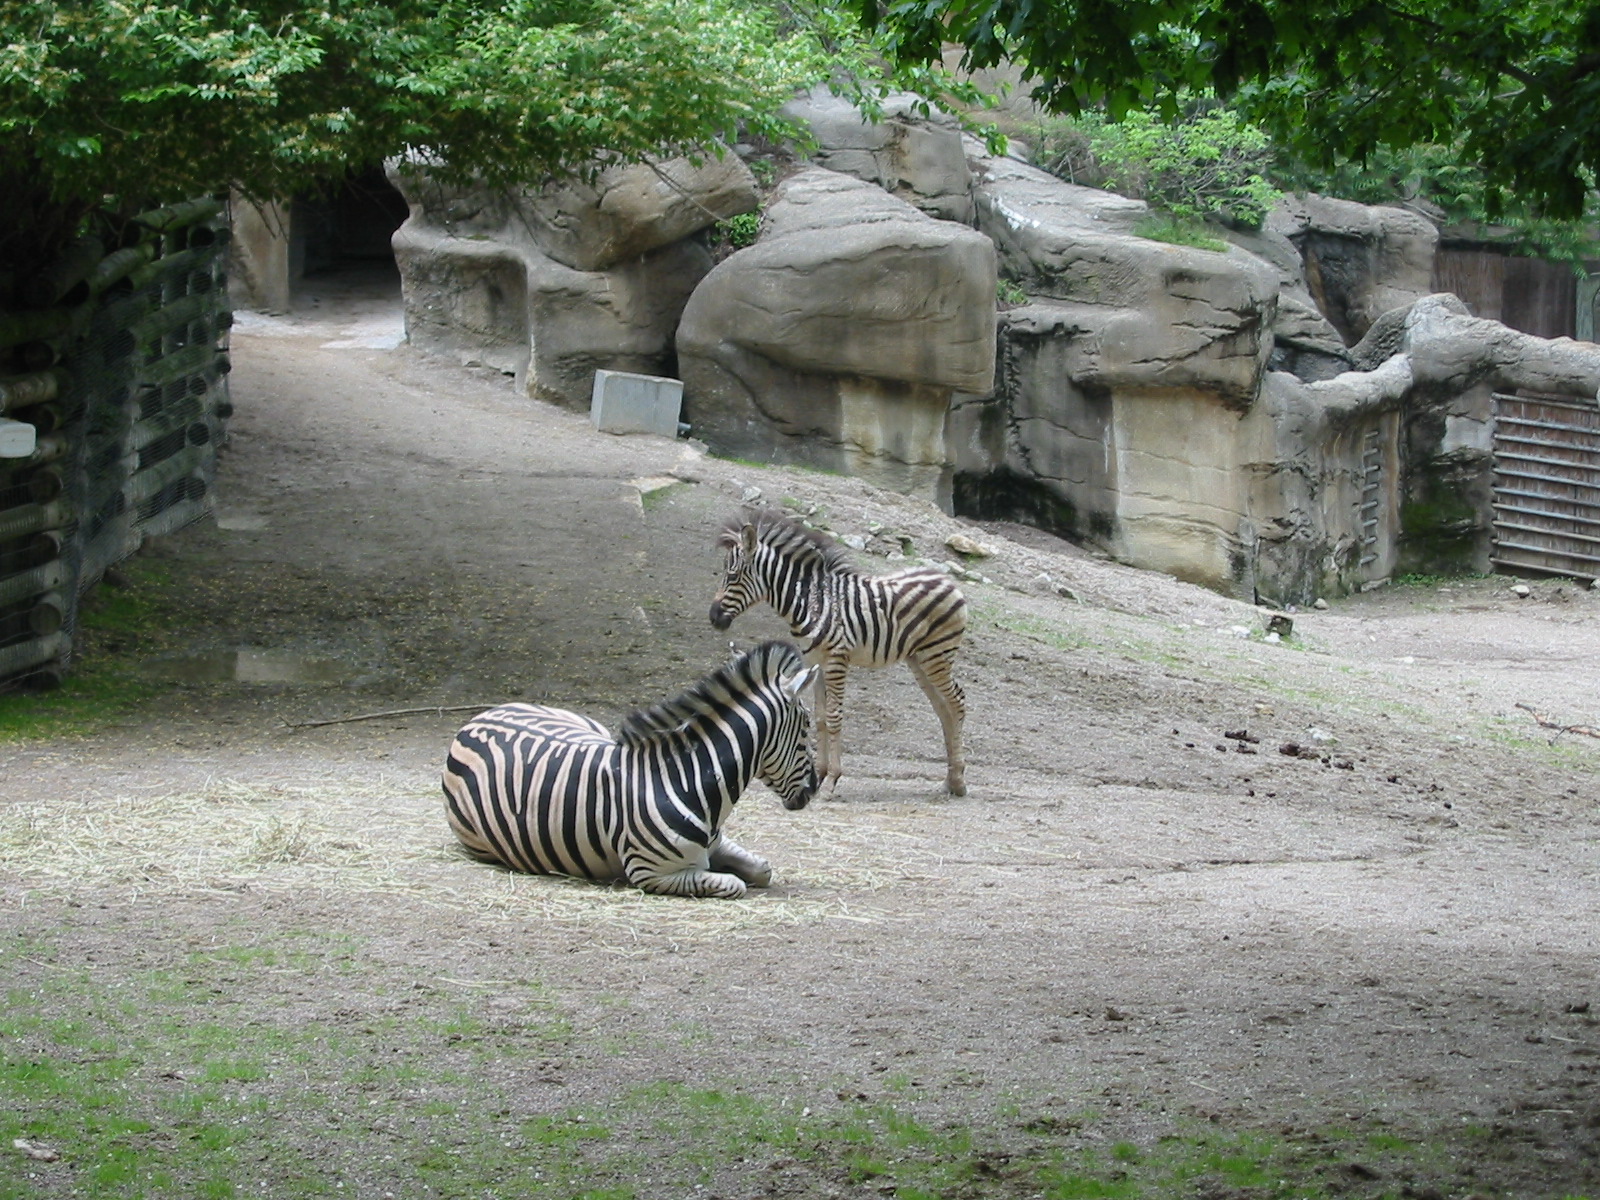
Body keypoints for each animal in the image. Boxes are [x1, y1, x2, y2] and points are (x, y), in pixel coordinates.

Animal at [441, 640, 818, 899]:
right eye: (806, 728)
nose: (814, 788)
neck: (688, 780)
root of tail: (478, 718)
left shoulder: (716, 844)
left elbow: (763, 870)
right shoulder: (652, 873)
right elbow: (735, 884)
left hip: (590, 727)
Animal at [709, 507, 968, 796]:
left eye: (732, 576)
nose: (713, 618)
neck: (811, 602)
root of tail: (947, 580)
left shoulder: (836, 660)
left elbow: (833, 717)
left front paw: (832, 779)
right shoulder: (815, 661)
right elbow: (820, 717)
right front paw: (820, 775)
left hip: (937, 655)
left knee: (956, 702)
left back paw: (959, 781)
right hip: (919, 659)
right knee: (943, 708)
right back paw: (949, 779)